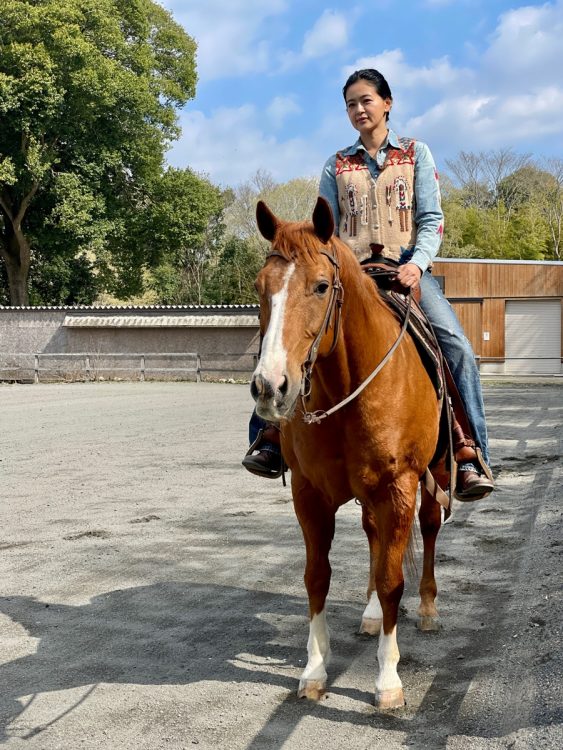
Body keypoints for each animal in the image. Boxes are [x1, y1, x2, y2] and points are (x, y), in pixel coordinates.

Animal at [253, 198, 448, 712]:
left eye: (321, 286)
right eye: (260, 288)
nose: (270, 387)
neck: (348, 390)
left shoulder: (398, 487)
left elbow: (393, 579)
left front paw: (388, 680)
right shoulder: (309, 494)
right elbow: (317, 577)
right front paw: (314, 671)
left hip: (433, 472)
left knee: (429, 529)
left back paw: (428, 607)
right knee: (374, 538)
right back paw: (371, 614)